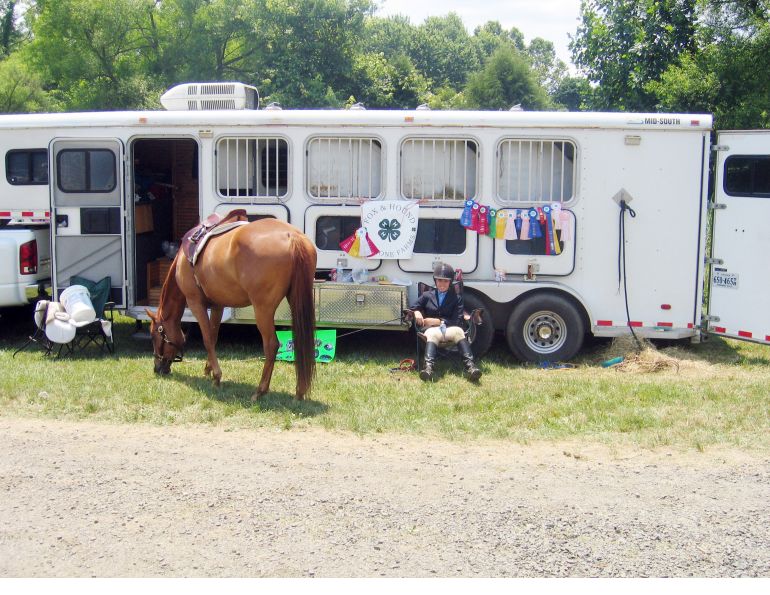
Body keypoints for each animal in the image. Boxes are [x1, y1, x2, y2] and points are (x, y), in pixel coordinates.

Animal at [146, 217, 317, 400]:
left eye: (154, 334)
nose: (157, 368)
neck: (185, 260)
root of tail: (292, 236)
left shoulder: (195, 304)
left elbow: (207, 339)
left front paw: (217, 376)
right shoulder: (217, 306)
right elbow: (213, 337)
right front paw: (209, 370)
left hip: (262, 310)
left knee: (271, 345)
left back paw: (260, 391)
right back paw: (299, 392)